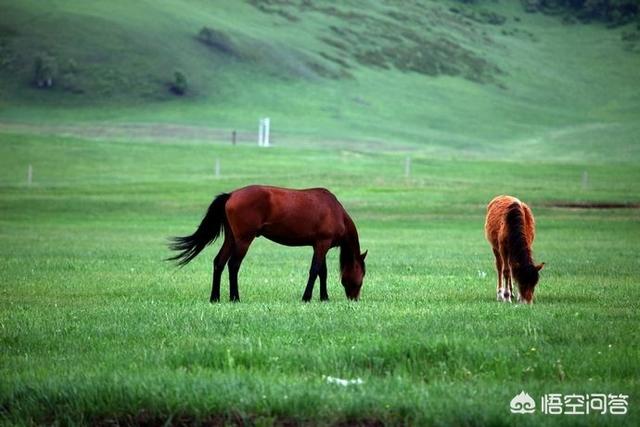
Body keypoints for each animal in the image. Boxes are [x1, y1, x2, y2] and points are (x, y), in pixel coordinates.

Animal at [168, 186, 368, 302]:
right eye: (362, 274)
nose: (355, 299)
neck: (336, 212)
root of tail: (231, 195)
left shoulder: (319, 245)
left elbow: (322, 272)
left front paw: (324, 298)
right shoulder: (322, 244)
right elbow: (315, 271)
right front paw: (306, 298)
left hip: (231, 238)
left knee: (219, 262)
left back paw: (215, 298)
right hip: (244, 239)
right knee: (233, 264)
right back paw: (235, 298)